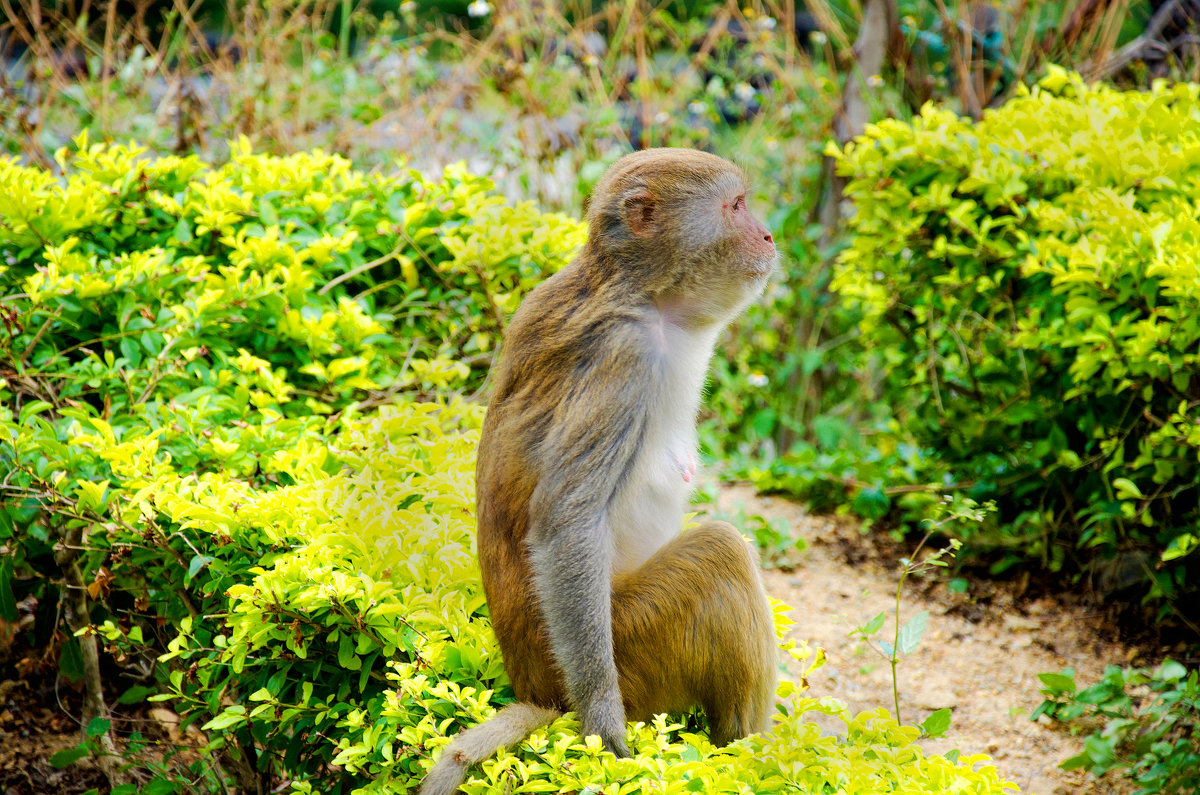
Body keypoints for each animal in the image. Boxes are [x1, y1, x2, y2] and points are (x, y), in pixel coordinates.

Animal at [420, 149, 777, 795]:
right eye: (736, 206)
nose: (767, 235)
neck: (645, 296)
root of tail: (539, 689)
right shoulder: (624, 358)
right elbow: (568, 522)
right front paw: (604, 726)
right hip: (638, 642)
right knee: (719, 553)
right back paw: (746, 754)